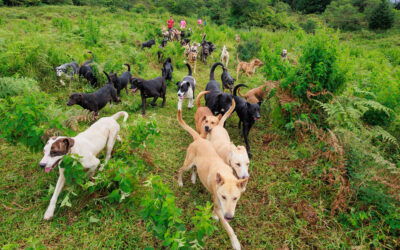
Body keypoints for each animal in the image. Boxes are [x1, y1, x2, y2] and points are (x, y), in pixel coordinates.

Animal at [177, 105, 247, 250]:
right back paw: (180, 182)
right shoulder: (220, 206)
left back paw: (193, 178)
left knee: (195, 169)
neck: (225, 174)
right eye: (224, 197)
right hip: (187, 163)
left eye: (235, 198)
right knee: (180, 170)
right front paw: (235, 242)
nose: (229, 216)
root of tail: (199, 139)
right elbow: (228, 227)